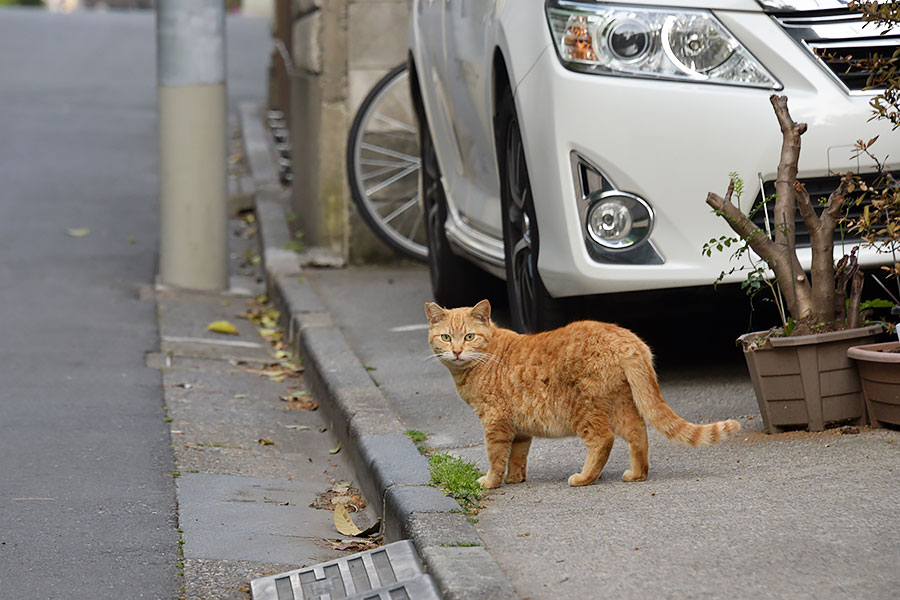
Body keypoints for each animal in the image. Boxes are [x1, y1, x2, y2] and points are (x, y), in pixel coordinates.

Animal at [426, 300, 740, 488]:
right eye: (445, 337)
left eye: (469, 337)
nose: (456, 351)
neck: (484, 359)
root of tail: (626, 338)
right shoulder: (518, 426)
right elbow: (517, 454)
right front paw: (515, 478)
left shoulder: (495, 421)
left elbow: (495, 456)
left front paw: (491, 482)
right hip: (621, 404)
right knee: (638, 433)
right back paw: (637, 474)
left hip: (583, 409)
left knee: (603, 440)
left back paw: (584, 477)